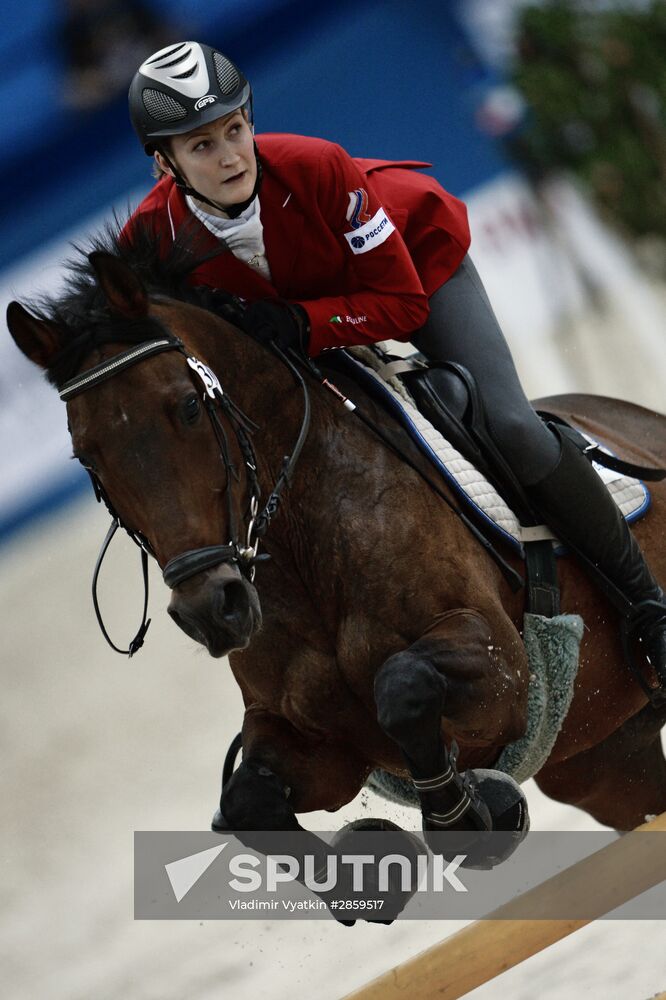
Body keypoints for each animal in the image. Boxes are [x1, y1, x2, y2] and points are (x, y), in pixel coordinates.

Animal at [5, 227, 664, 884]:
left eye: (189, 407)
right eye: (86, 456)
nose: (209, 611)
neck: (303, 544)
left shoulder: (501, 668)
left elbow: (403, 685)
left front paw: (477, 817)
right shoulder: (315, 739)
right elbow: (246, 801)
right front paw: (372, 876)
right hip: (605, 761)